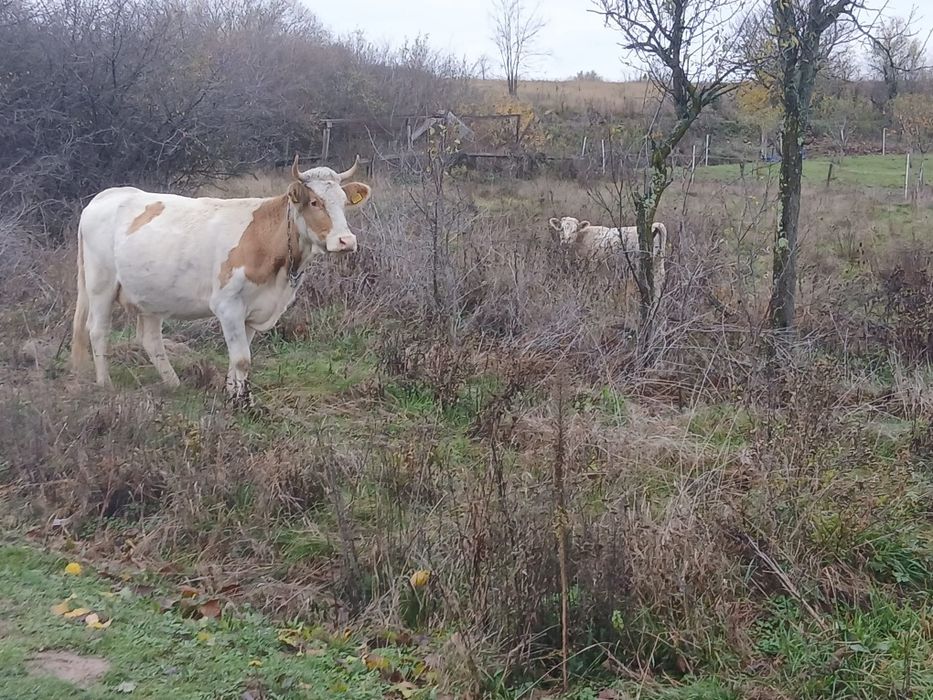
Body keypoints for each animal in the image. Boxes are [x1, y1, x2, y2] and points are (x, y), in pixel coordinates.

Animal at [70, 155, 371, 404]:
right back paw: (105, 384)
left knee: (150, 339)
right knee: (97, 330)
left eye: (344, 202)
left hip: (149, 295)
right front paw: (241, 403)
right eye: (315, 202)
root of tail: (108, 194)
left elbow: (239, 360)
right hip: (100, 284)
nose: (346, 241)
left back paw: (173, 383)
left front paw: (234, 393)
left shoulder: (253, 310)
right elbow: (242, 359)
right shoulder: (228, 305)